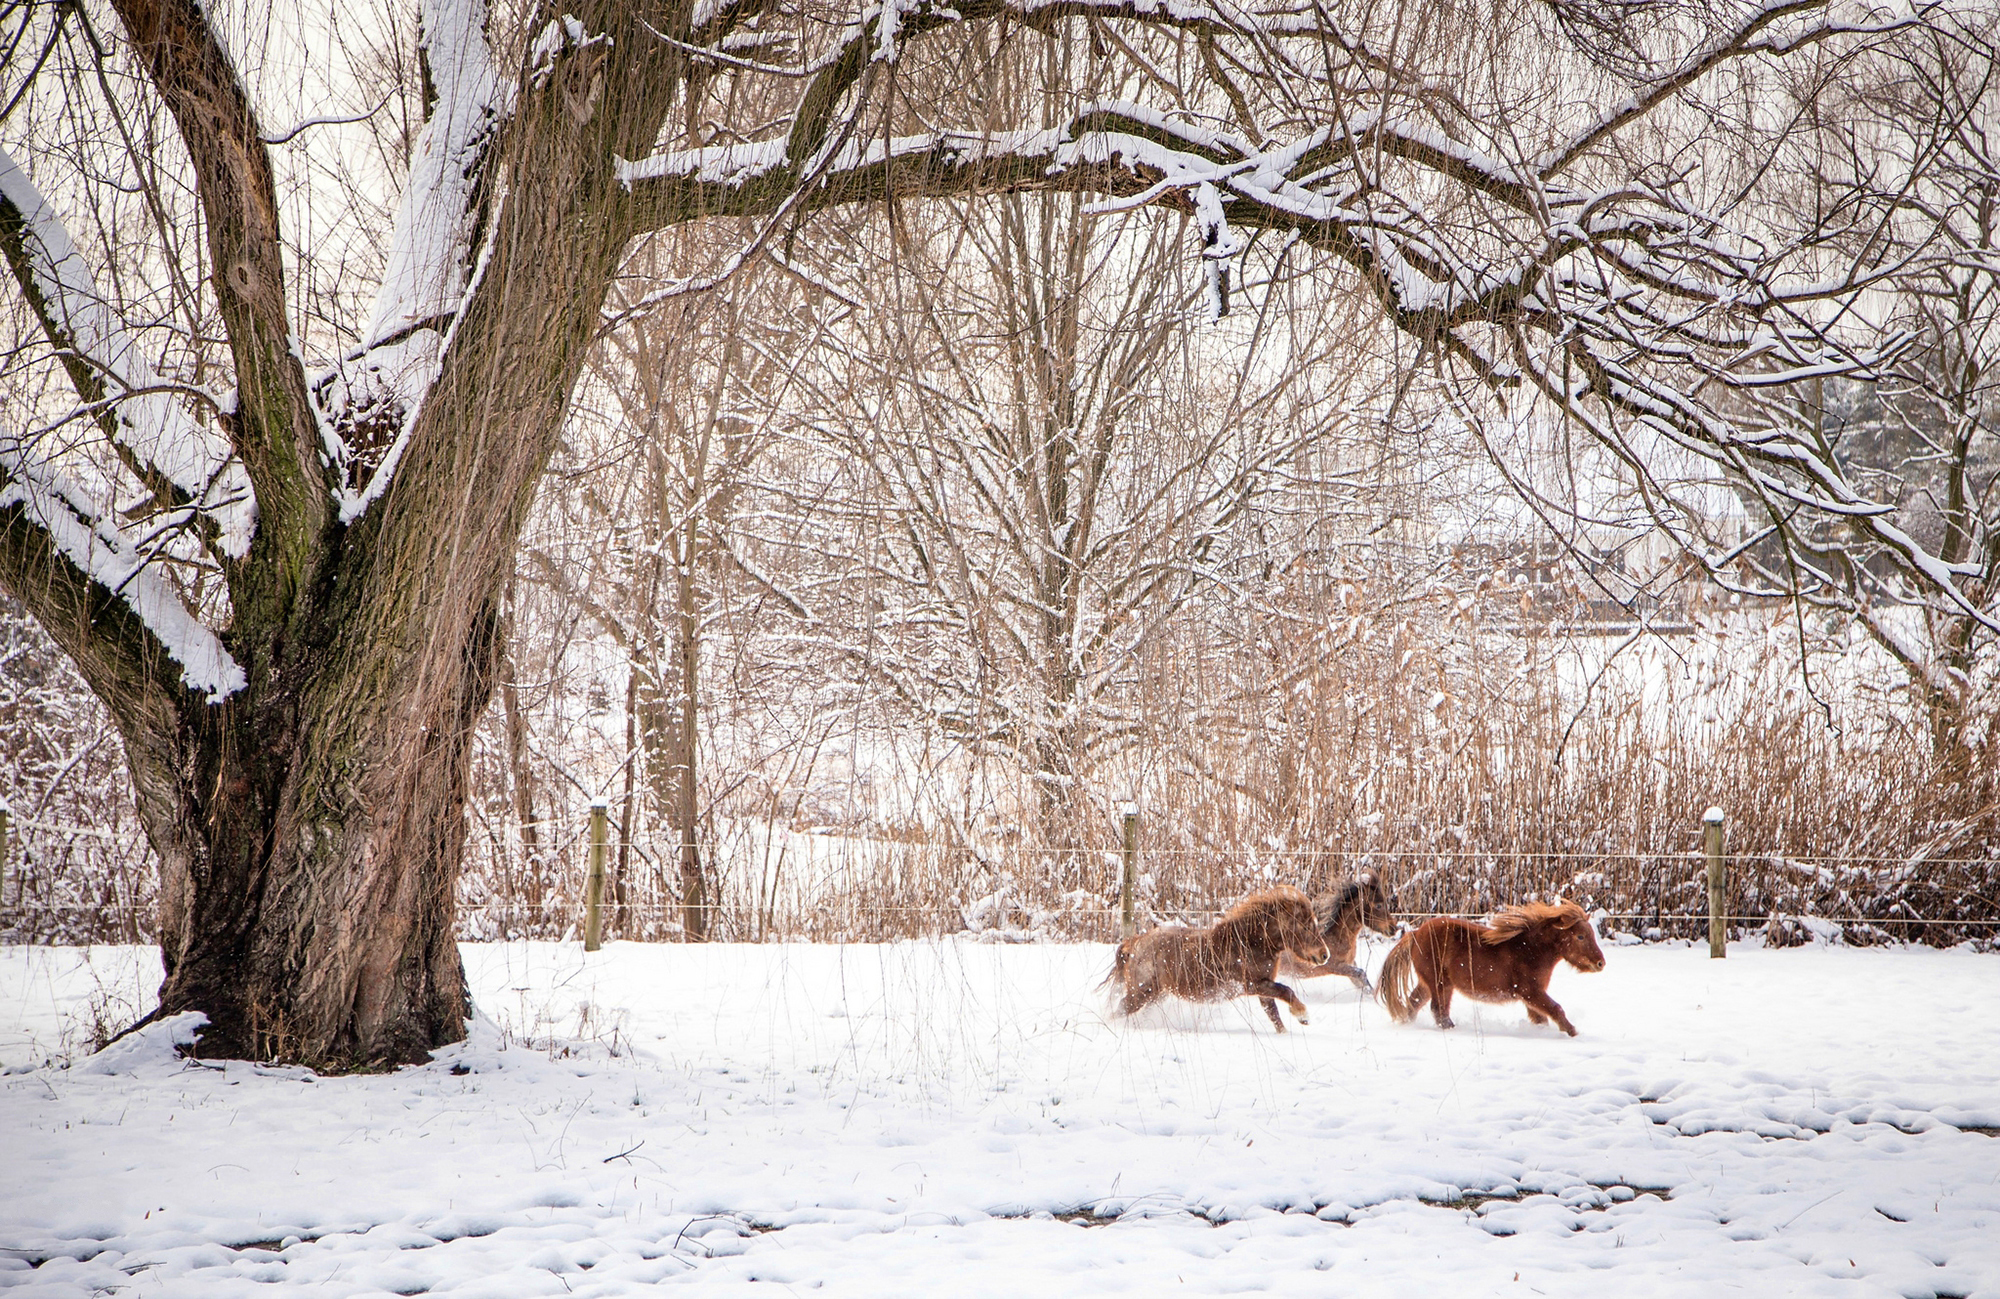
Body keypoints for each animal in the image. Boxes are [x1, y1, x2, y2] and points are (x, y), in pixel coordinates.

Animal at [1104, 883, 1336, 1023]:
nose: (1325, 955)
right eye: (1305, 926)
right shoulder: (1253, 985)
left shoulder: (1263, 989)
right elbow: (1286, 991)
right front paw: (1303, 1015)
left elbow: (1274, 1016)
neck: (1251, 943)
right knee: (1120, 1009)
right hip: (1141, 993)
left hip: (1156, 995)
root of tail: (1134, 943)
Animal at [1376, 899, 1608, 1031]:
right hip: (1440, 984)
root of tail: (1415, 934)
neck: (1531, 949)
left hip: (1430, 984)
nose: (1600, 963)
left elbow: (1541, 1018)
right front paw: (1572, 1031)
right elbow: (1555, 1008)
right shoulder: (1530, 992)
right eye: (1580, 936)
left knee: (1414, 1003)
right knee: (1438, 1011)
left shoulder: (1532, 997)